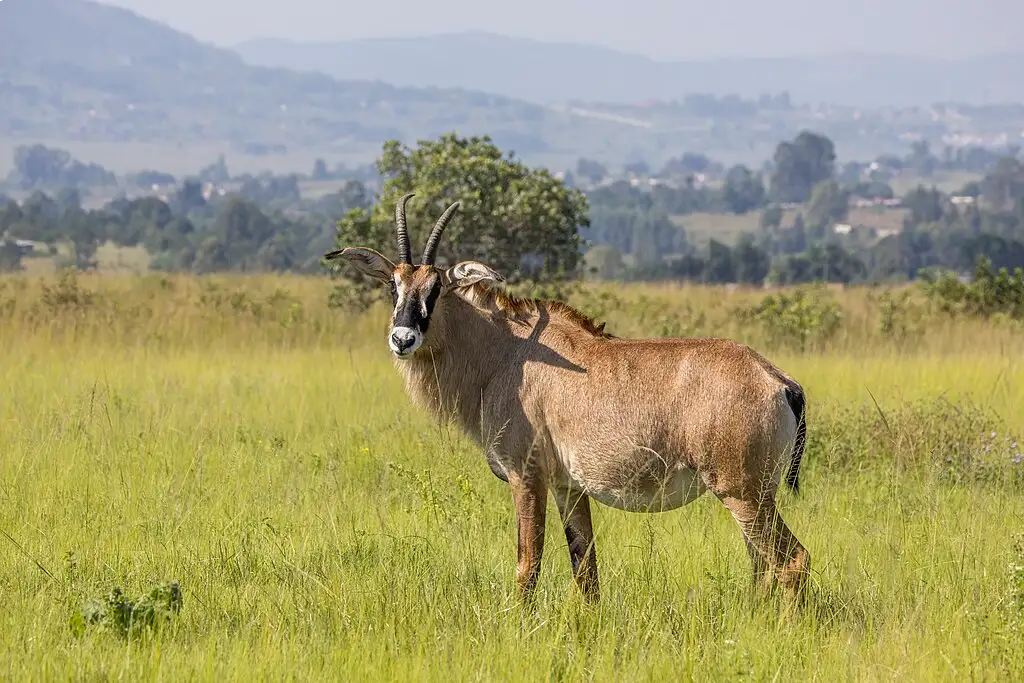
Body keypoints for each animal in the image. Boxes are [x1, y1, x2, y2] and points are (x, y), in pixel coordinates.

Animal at [326, 194, 811, 604]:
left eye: (437, 287)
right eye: (393, 286)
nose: (402, 338)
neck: (508, 353)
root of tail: (779, 382)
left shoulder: (526, 478)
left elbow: (528, 566)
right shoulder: (568, 489)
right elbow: (586, 571)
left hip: (742, 493)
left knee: (791, 561)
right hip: (749, 496)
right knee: (762, 567)